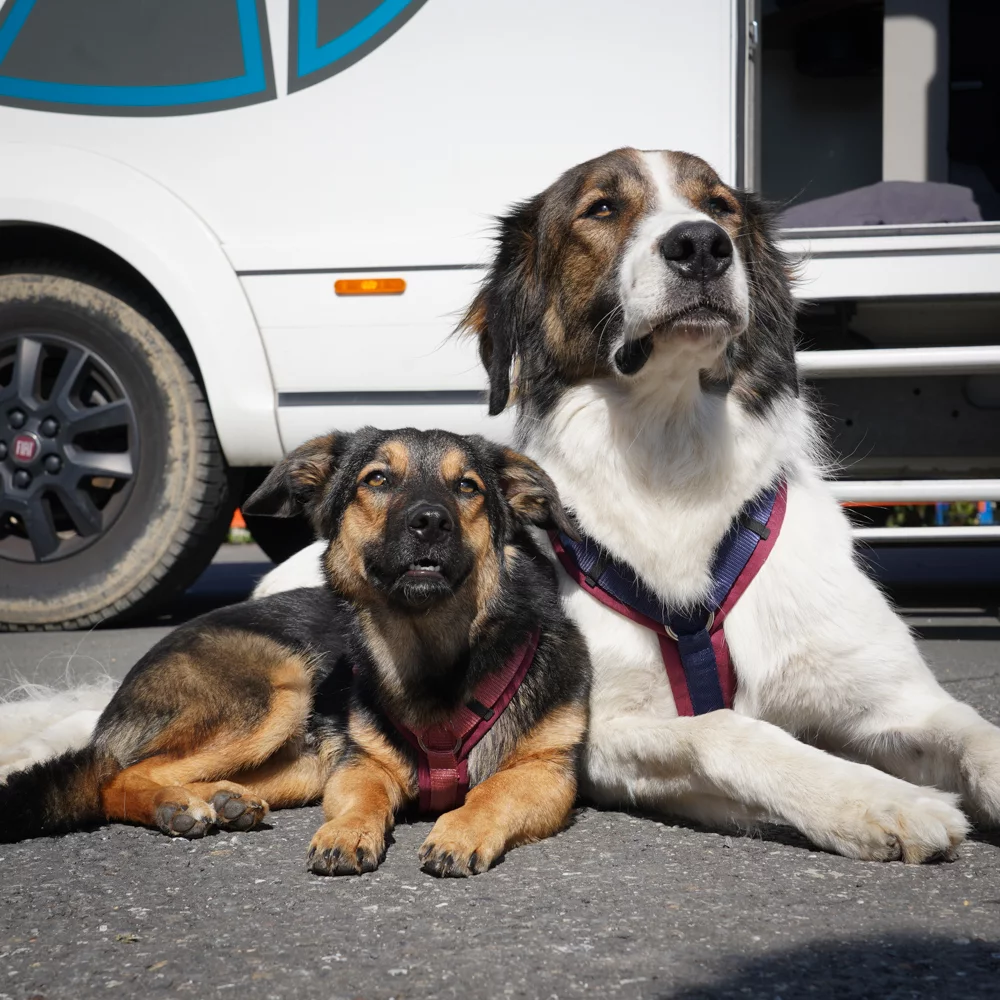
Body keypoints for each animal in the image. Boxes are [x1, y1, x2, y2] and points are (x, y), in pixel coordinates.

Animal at [0, 428, 588, 876]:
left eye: (467, 486)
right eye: (377, 479)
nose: (430, 522)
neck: (434, 662)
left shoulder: (547, 773)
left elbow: (494, 791)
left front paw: (459, 830)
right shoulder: (360, 763)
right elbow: (363, 798)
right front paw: (345, 831)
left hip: (298, 760)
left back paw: (223, 798)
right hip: (280, 687)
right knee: (115, 776)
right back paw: (178, 804)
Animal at [258, 146, 1000, 860]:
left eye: (720, 206)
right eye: (603, 207)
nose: (701, 245)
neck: (671, 457)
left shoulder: (896, 697)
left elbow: (977, 734)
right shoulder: (601, 732)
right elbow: (727, 729)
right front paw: (877, 801)